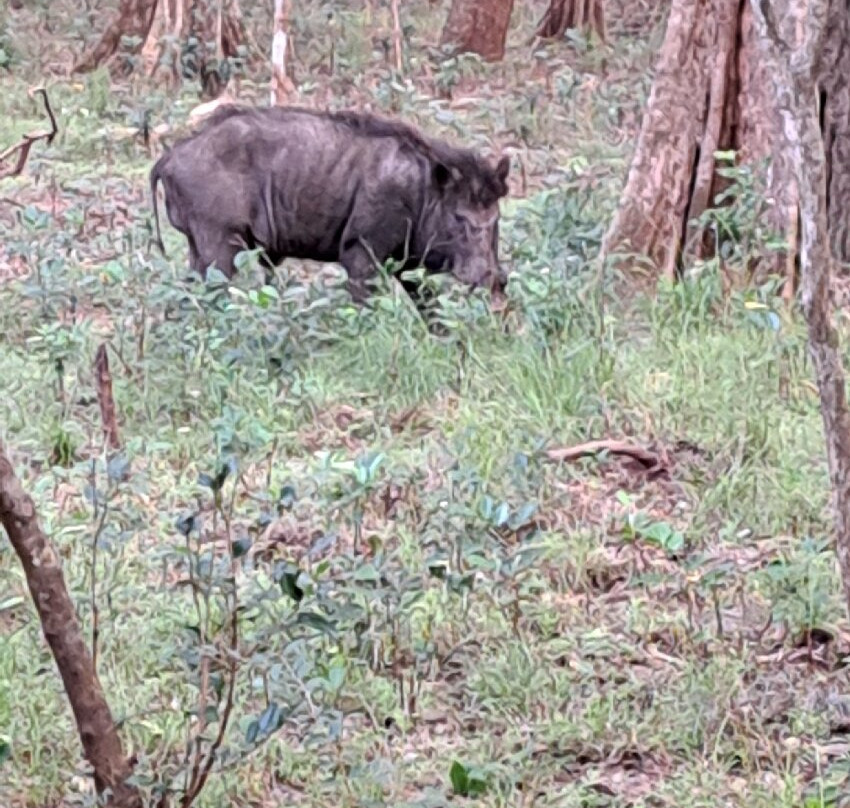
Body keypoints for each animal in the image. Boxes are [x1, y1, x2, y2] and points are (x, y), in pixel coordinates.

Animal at [150, 105, 510, 311]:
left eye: (495, 218)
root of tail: (168, 159)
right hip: (220, 242)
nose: (495, 278)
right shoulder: (361, 252)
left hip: (198, 245)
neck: (421, 193)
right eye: (459, 217)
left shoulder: (405, 264)